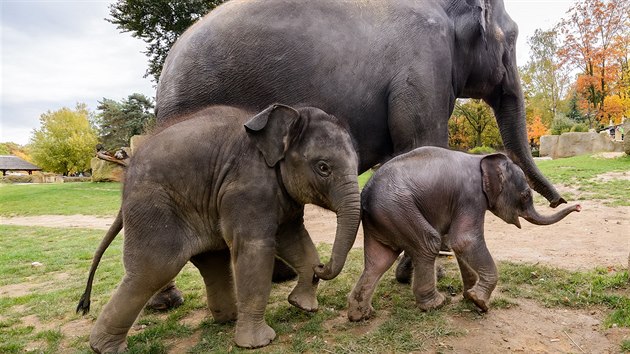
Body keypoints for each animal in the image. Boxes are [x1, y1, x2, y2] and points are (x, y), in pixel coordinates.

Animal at [79, 103, 362, 352]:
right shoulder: (248, 189)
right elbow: (256, 249)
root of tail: (125, 184)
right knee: (154, 269)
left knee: (212, 262)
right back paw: (103, 348)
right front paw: (259, 343)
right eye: (323, 167)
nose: (322, 267)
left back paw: (228, 318)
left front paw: (303, 306)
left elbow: (294, 238)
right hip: (154, 208)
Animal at [350, 147, 584, 320]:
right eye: (526, 195)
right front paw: (480, 302)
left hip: (384, 216)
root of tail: (365, 194)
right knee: (428, 244)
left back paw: (361, 315)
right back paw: (435, 304)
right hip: (396, 207)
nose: (578, 207)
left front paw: (470, 296)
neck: (483, 158)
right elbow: (464, 241)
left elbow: (460, 246)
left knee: (380, 260)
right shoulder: (470, 196)